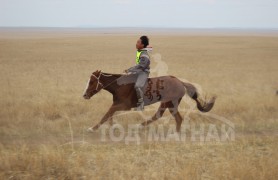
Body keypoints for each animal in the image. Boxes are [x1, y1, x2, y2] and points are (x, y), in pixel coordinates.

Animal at [82, 69, 215, 133]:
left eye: (92, 81)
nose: (85, 95)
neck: (119, 85)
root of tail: (181, 82)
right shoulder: (116, 104)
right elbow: (110, 114)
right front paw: (111, 127)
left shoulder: (124, 105)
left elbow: (107, 114)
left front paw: (92, 128)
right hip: (170, 104)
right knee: (173, 118)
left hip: (168, 102)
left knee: (163, 116)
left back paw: (140, 126)